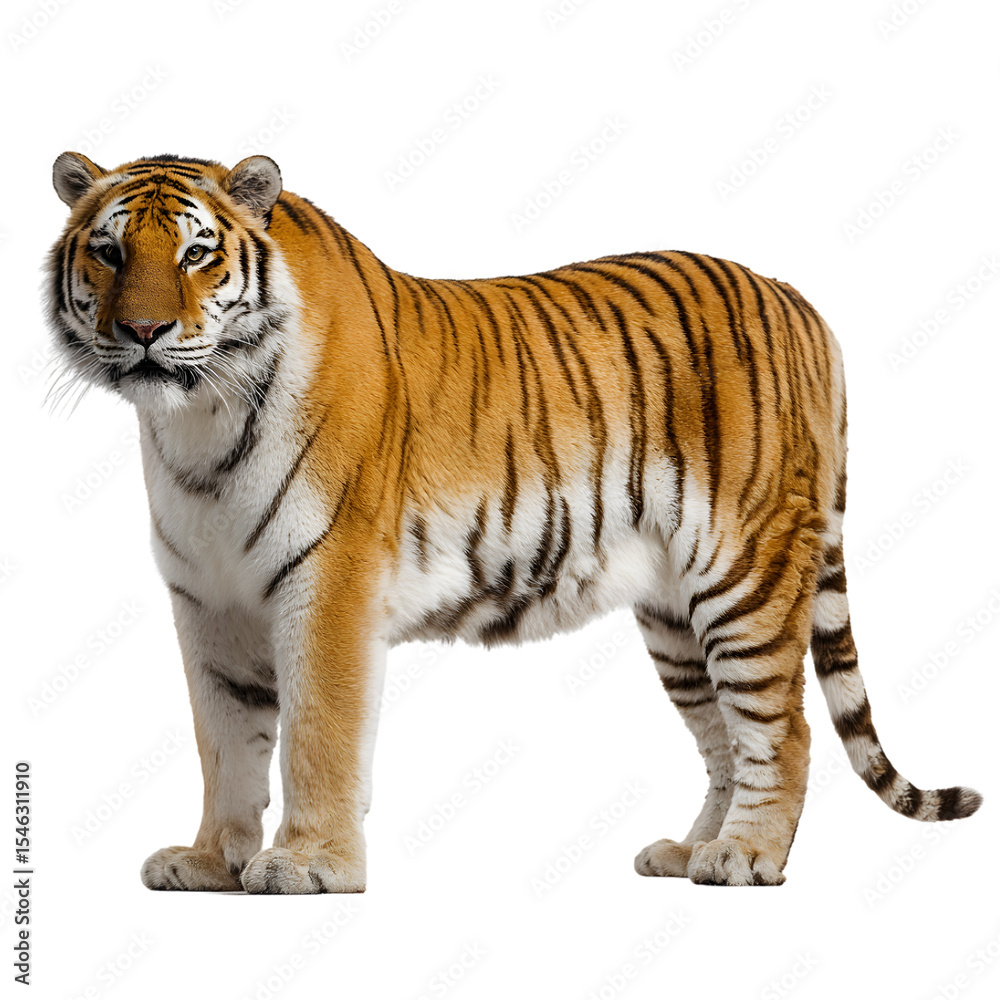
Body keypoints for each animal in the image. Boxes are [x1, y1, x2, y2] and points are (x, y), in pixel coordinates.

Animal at [45, 150, 981, 892]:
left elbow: (316, 734)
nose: (144, 330)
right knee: (725, 738)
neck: (196, 426)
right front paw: (210, 863)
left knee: (781, 729)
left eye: (198, 253)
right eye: (109, 250)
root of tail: (798, 301)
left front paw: (308, 866)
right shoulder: (208, 602)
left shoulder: (328, 586)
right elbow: (224, 743)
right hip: (677, 615)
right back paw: (691, 851)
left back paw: (747, 857)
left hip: (744, 571)